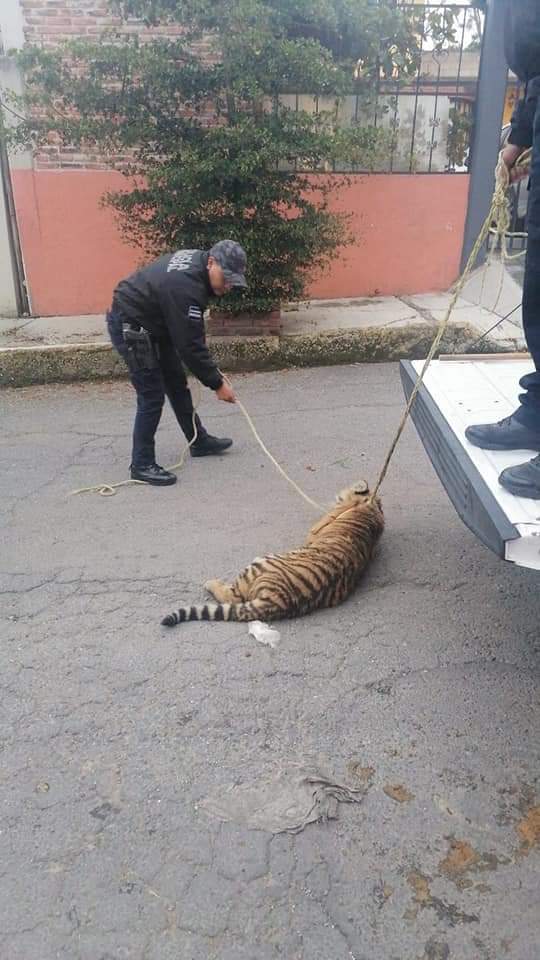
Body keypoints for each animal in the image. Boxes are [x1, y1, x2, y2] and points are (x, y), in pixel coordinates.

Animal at [160, 480, 384, 632]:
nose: (337, 494)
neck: (371, 505)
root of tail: (277, 601)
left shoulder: (315, 530)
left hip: (258, 563)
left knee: (232, 597)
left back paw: (210, 583)